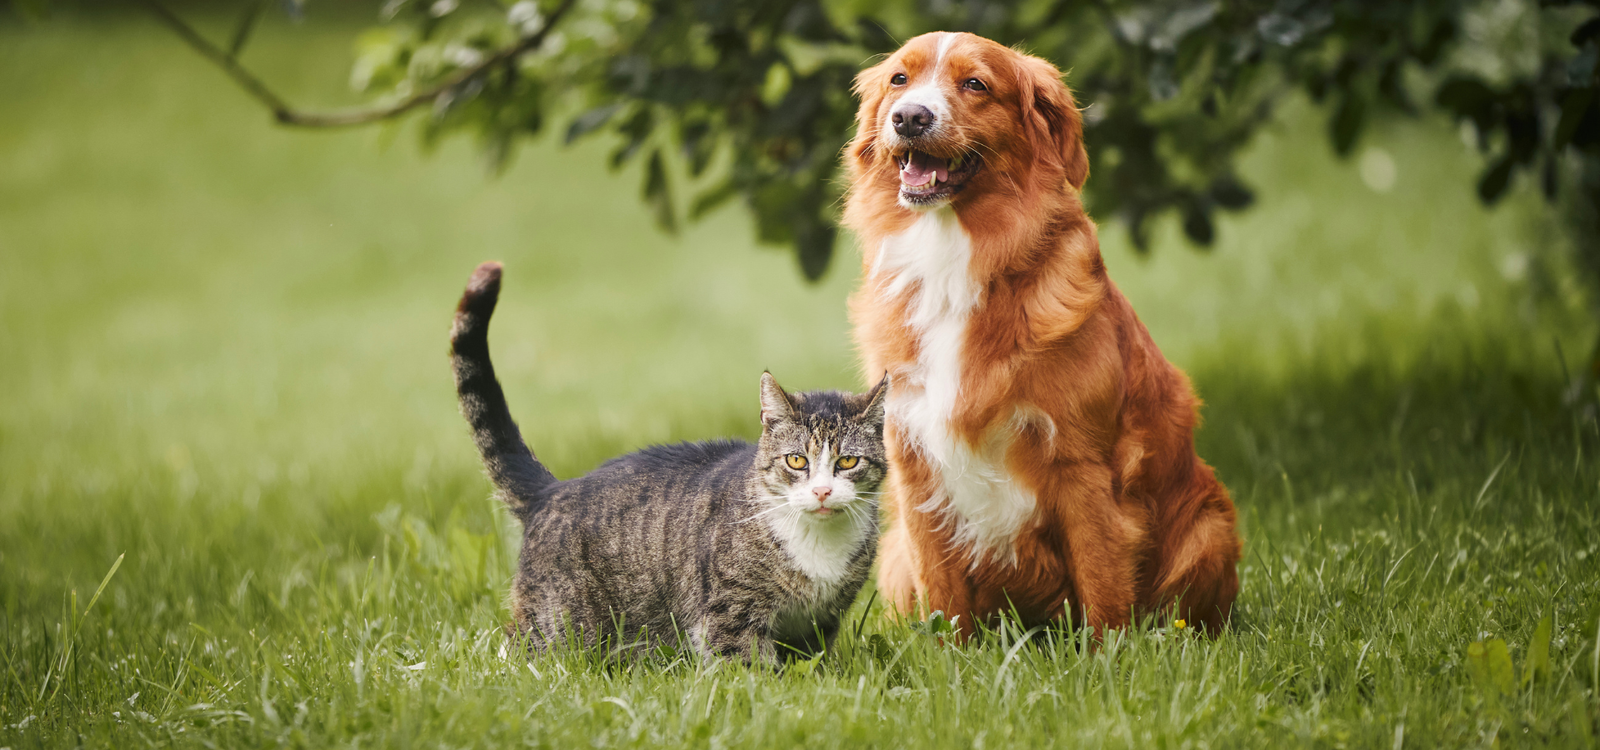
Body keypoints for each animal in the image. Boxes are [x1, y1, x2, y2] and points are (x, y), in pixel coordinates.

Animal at [448, 262, 889, 662]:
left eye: (848, 461)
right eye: (797, 460)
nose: (822, 491)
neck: (819, 548)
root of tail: (552, 489)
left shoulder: (819, 622)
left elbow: (808, 664)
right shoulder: (730, 614)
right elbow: (749, 669)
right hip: (559, 625)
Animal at [844, 32, 1241, 633]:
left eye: (975, 84)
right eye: (899, 80)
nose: (909, 117)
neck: (953, 257)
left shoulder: (1083, 466)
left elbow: (1102, 586)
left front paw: (1109, 655)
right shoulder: (915, 466)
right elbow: (943, 603)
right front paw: (947, 655)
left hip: (1209, 529)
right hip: (893, 556)